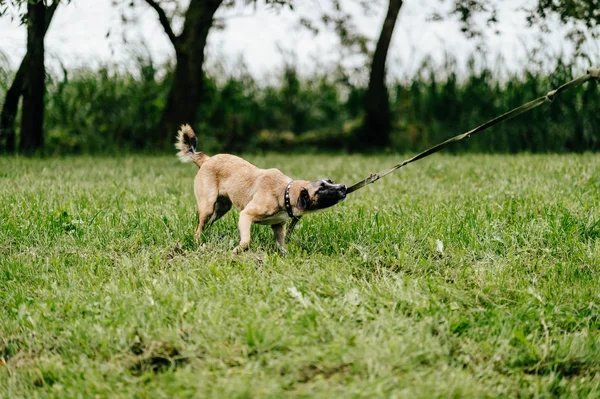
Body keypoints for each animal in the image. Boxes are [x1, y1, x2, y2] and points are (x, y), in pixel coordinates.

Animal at [173, 125, 346, 255]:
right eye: (321, 188)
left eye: (330, 181)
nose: (343, 187)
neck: (285, 192)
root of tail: (206, 160)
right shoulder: (246, 216)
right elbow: (246, 240)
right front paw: (237, 251)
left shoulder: (278, 226)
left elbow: (281, 245)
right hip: (207, 206)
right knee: (198, 228)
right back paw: (198, 243)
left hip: (222, 208)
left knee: (207, 225)